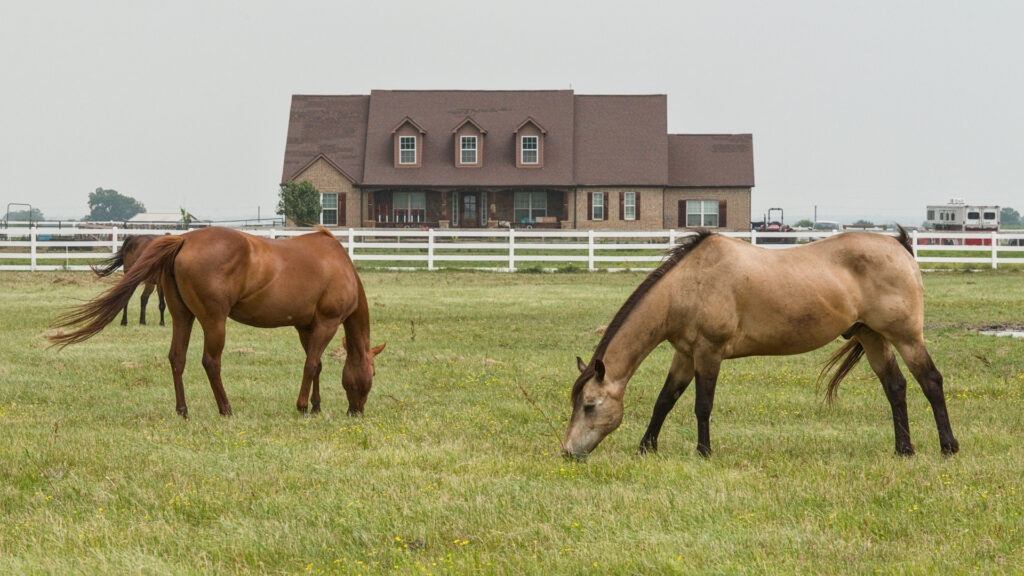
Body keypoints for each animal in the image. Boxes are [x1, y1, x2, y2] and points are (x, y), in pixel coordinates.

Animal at [50, 226, 386, 418]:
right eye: (370, 375)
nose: (357, 412)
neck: (341, 265)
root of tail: (183, 239)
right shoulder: (327, 323)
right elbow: (311, 365)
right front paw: (304, 407)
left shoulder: (307, 326)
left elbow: (316, 366)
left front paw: (315, 406)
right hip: (214, 321)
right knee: (211, 362)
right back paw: (225, 409)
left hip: (182, 317)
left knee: (177, 358)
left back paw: (182, 410)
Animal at [563, 227, 958, 458]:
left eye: (590, 406)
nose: (568, 451)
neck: (689, 285)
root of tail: (900, 245)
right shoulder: (685, 355)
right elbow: (665, 401)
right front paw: (646, 448)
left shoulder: (709, 353)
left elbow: (702, 405)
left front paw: (703, 452)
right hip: (872, 336)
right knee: (896, 386)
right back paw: (904, 450)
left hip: (906, 337)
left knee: (930, 381)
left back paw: (948, 447)